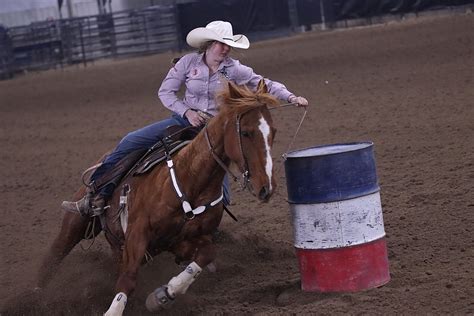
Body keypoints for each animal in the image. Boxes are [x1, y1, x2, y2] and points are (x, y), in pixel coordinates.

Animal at [36, 80, 278, 314]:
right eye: (246, 132)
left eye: (273, 132)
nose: (266, 187)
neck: (190, 180)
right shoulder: (137, 233)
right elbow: (128, 279)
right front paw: (114, 310)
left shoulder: (177, 242)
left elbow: (207, 254)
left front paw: (163, 295)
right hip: (76, 224)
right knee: (54, 257)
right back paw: (35, 295)